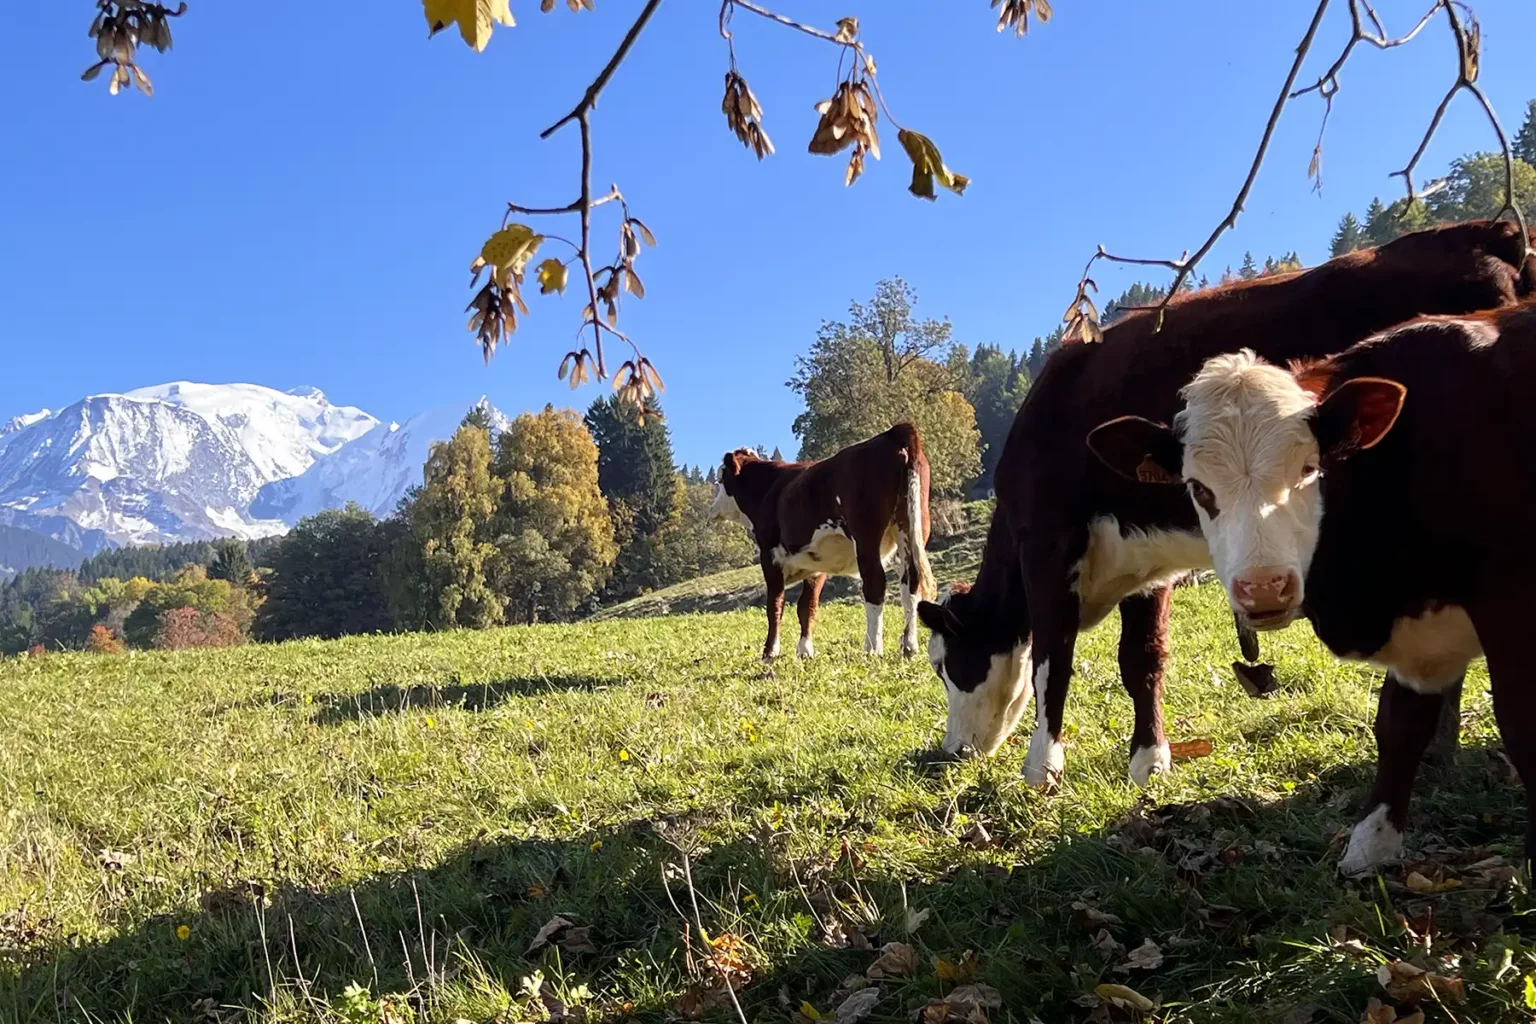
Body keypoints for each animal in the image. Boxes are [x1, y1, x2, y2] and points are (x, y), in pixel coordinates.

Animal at [711, 424, 936, 662]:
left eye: (720, 478)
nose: (713, 509)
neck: (769, 489)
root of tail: (892, 433)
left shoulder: (769, 555)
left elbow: (775, 604)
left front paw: (769, 653)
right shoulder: (816, 563)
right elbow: (807, 606)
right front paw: (804, 651)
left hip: (866, 535)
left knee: (875, 584)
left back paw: (872, 648)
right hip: (910, 527)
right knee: (911, 584)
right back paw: (909, 646)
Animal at [916, 220, 1535, 789]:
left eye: (945, 665)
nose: (952, 751)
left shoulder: (1048, 545)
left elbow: (1053, 659)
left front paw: (1043, 765)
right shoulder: (1144, 557)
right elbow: (1141, 659)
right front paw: (1149, 760)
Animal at [1085, 299, 1536, 872]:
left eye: (1307, 469)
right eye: (1198, 488)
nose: (1264, 588)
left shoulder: (1511, 605)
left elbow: (1520, 726)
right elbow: (1400, 723)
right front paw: (1372, 843)